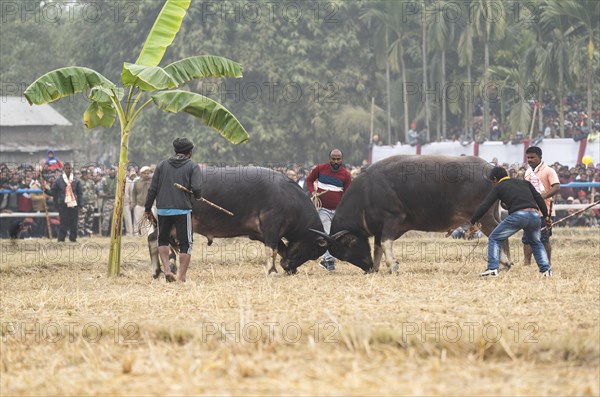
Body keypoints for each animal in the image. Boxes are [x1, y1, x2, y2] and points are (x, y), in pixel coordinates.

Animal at [149, 166, 328, 276]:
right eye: (310, 251)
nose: (289, 267)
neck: (290, 199)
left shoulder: (261, 233)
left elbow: (281, 249)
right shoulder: (272, 227)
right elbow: (272, 250)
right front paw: (272, 271)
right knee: (154, 238)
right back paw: (159, 269)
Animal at [314, 155, 510, 272]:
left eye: (348, 248)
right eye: (343, 256)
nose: (367, 268)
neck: (367, 193)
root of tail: (491, 170)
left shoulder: (392, 220)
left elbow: (385, 244)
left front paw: (392, 265)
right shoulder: (378, 228)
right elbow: (378, 247)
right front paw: (378, 267)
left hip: (483, 216)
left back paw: (505, 261)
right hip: (492, 213)